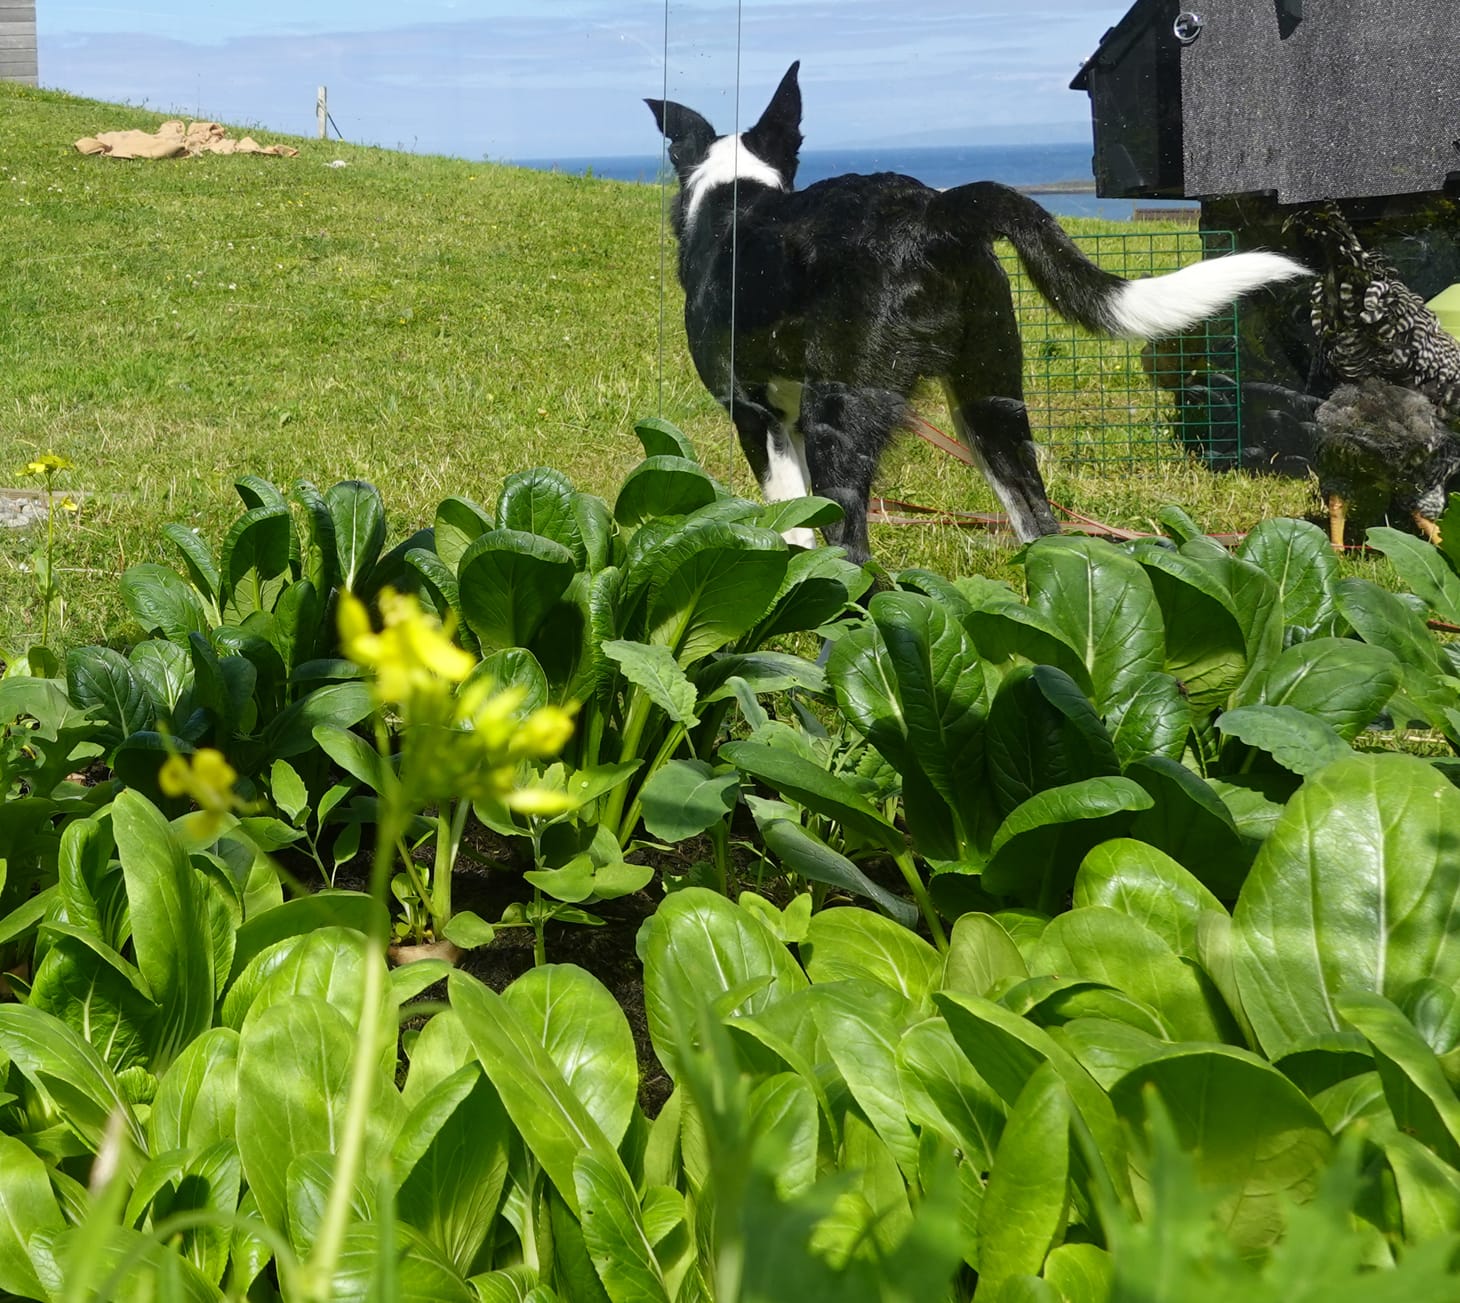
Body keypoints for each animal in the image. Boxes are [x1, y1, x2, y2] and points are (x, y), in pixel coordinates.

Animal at [645, 63, 1308, 558]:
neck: (734, 197)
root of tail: (931, 212)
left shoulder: (754, 414)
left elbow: (794, 526)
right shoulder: (786, 420)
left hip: (843, 413)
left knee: (854, 552)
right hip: (990, 403)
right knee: (1041, 525)